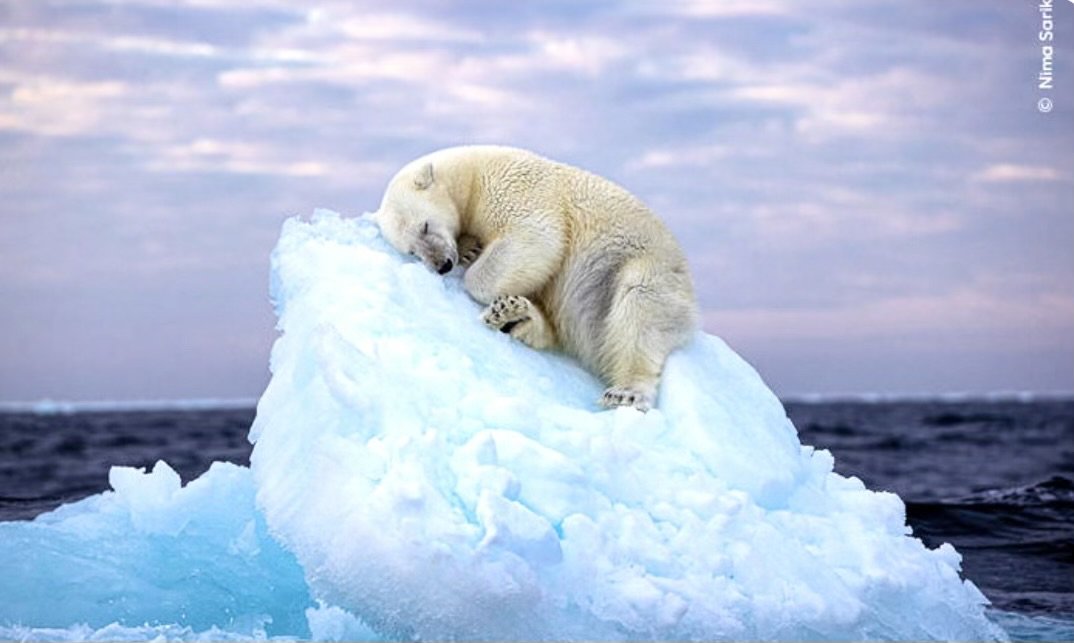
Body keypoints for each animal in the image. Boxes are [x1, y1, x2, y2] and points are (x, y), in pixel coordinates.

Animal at [370, 145, 698, 411]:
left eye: (425, 226)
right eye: (412, 251)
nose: (442, 265)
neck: (471, 174)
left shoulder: (513, 188)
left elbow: (536, 237)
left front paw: (473, 266)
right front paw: (469, 249)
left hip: (643, 266)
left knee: (639, 309)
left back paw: (626, 392)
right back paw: (514, 316)